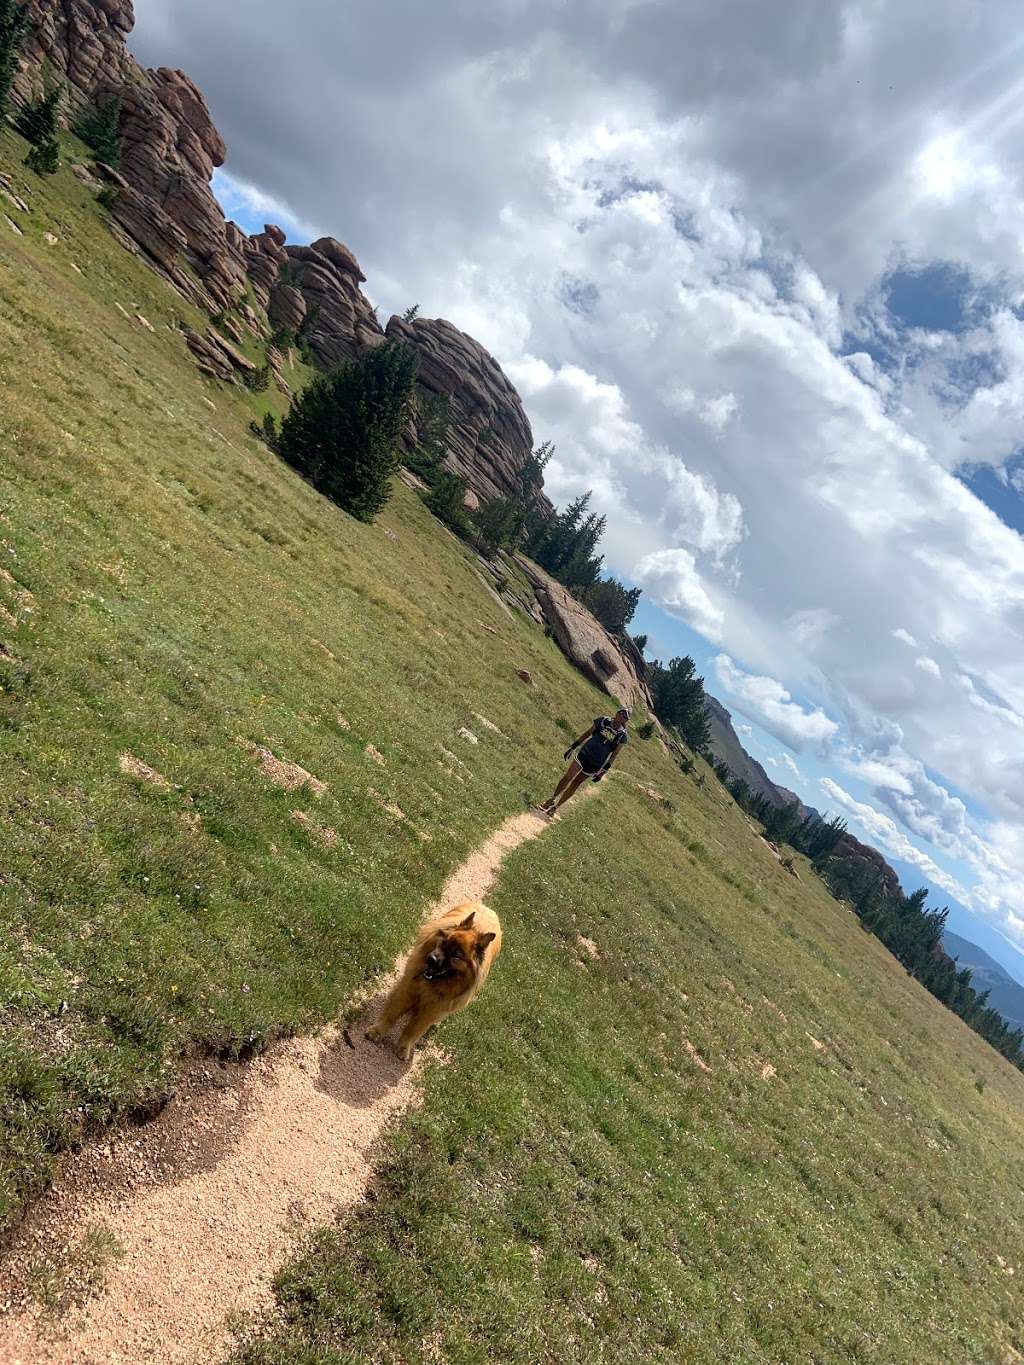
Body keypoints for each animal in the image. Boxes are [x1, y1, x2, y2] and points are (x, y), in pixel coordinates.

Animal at [365, 900, 502, 1059]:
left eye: (456, 955)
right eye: (444, 943)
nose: (431, 959)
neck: (434, 983)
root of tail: (490, 910)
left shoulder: (432, 1009)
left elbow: (414, 1029)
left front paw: (403, 1048)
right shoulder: (408, 990)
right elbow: (391, 1014)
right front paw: (376, 1031)